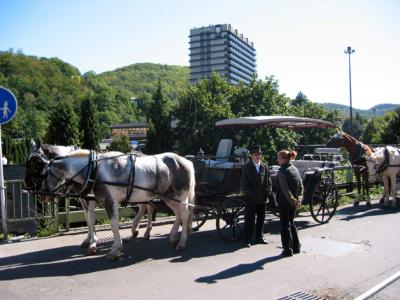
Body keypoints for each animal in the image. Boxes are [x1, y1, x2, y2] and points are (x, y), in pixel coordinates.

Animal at [25, 145, 195, 258]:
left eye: (39, 167)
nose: (41, 195)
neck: (94, 169)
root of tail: (185, 161)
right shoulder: (89, 200)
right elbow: (90, 220)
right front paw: (92, 242)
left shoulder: (109, 201)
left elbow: (112, 225)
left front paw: (113, 249)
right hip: (168, 197)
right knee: (176, 214)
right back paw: (172, 237)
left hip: (180, 196)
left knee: (184, 215)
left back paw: (181, 242)